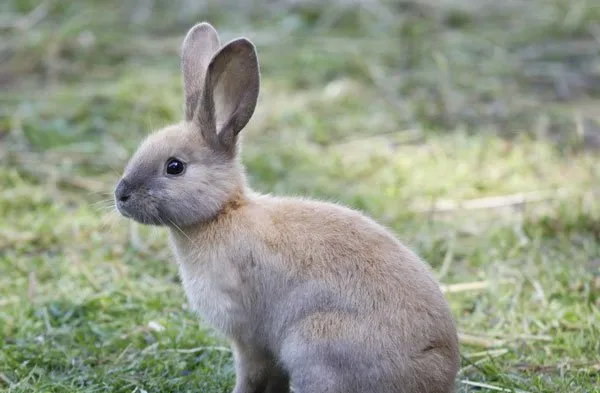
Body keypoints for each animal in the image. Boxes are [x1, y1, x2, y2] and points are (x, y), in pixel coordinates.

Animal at [115, 22, 462, 392]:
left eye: (175, 167)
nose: (121, 195)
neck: (222, 213)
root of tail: (434, 381)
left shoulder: (249, 336)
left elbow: (252, 375)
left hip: (314, 346)